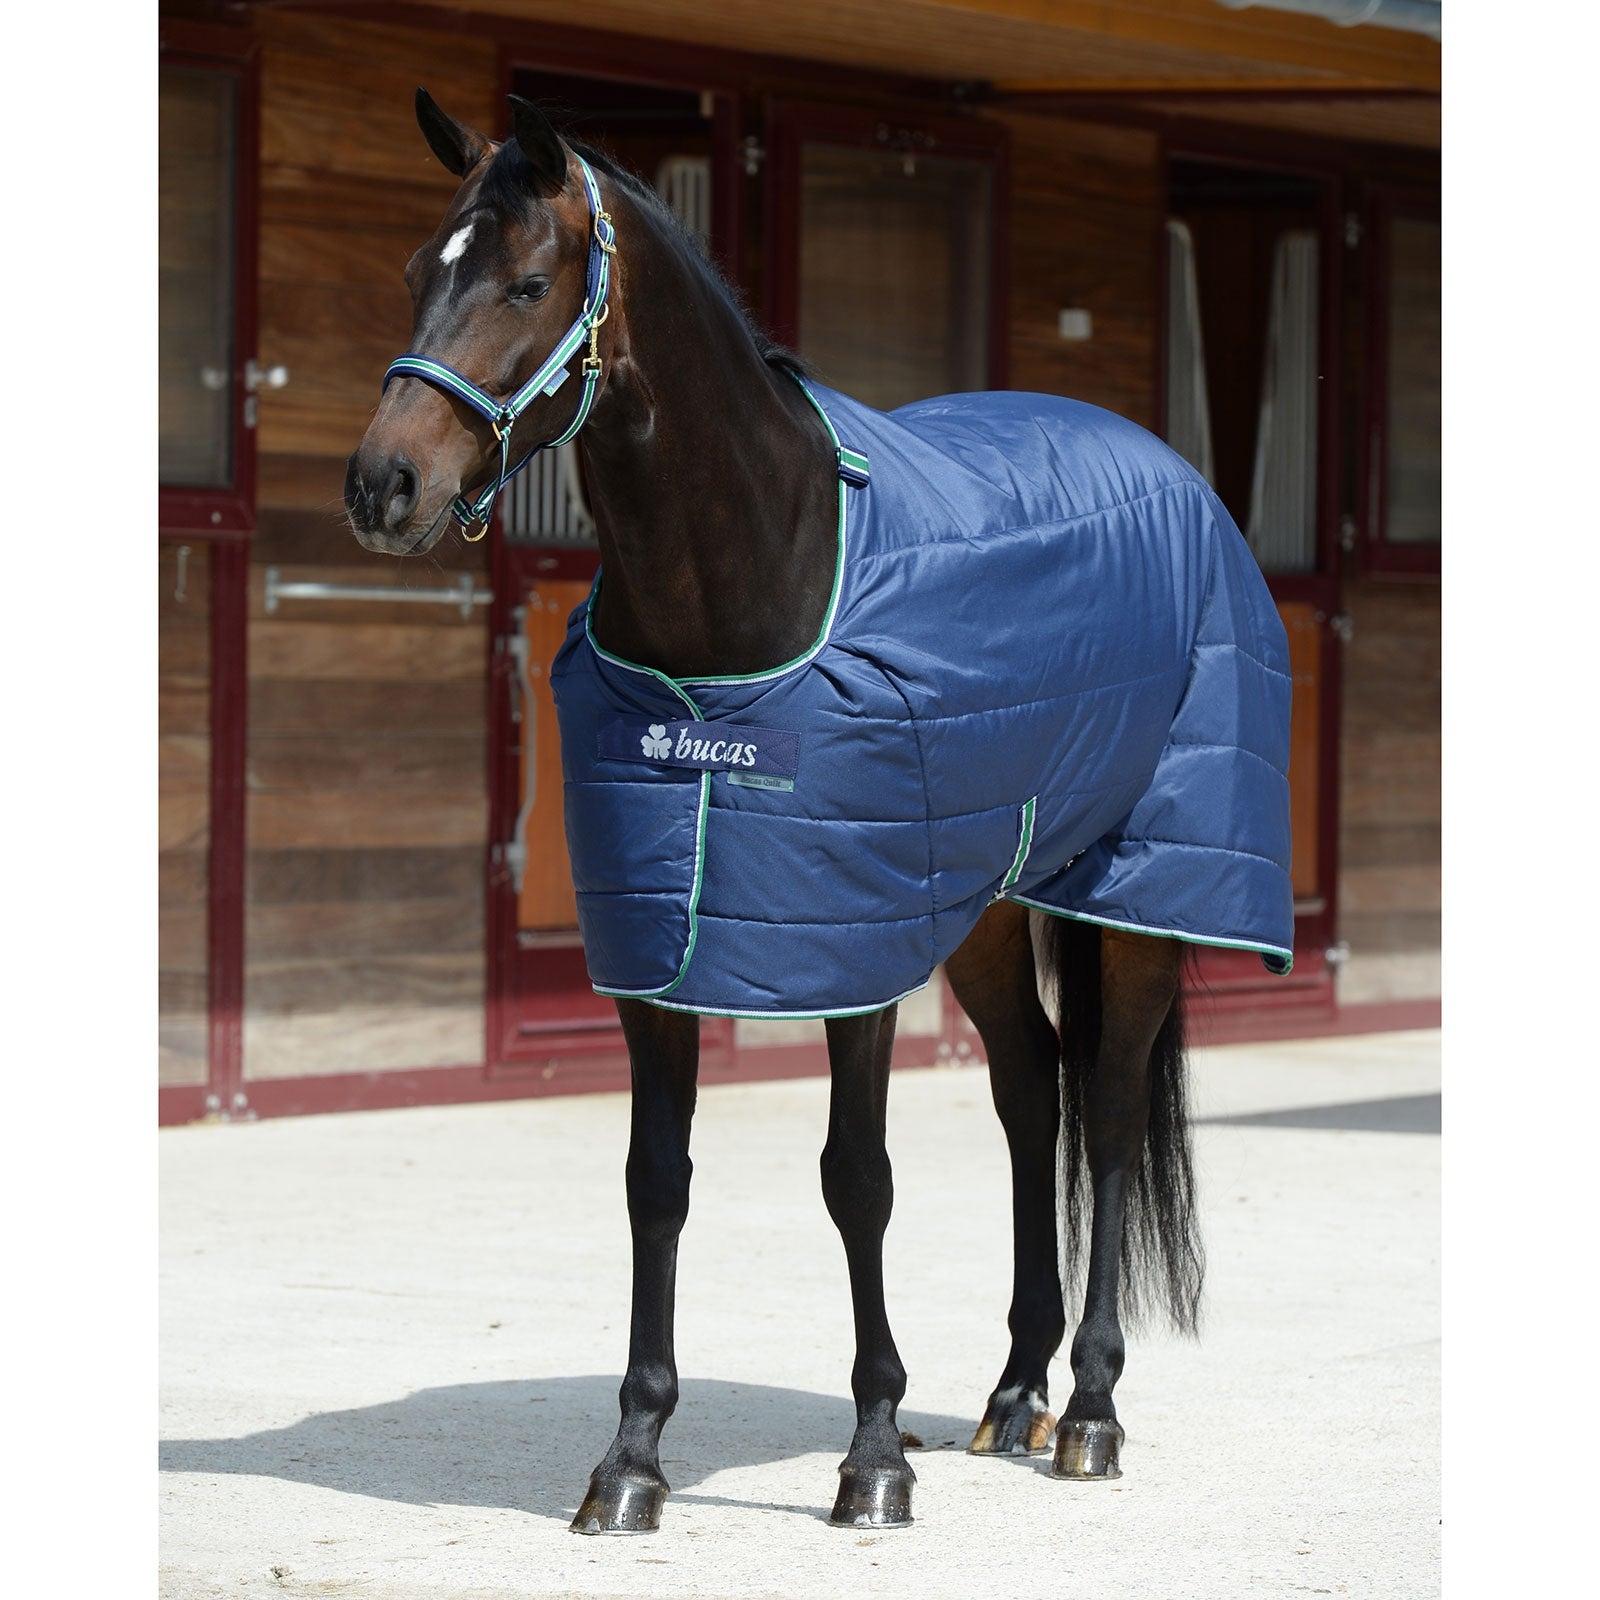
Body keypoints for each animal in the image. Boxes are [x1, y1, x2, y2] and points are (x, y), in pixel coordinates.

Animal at [344, 89, 1294, 1534]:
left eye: (523, 283)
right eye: (412, 274)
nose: (383, 485)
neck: (753, 578)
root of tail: (1169, 470)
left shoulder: (849, 949)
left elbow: (859, 1182)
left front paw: (875, 1457)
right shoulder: (667, 945)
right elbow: (656, 1182)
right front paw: (631, 1460)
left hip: (1140, 888)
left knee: (1110, 1108)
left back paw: (1088, 1408)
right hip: (983, 900)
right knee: (1033, 1093)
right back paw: (1014, 1392)